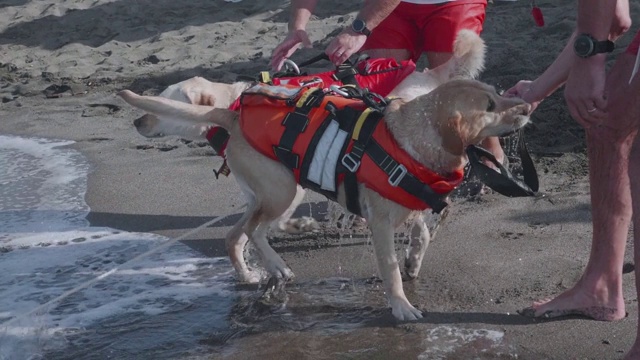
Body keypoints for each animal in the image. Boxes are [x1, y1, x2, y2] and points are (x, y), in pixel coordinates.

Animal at [119, 78, 528, 318]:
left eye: (498, 93)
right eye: (489, 106)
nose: (526, 106)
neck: (412, 142)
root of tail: (230, 115)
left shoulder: (411, 208)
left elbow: (422, 235)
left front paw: (414, 261)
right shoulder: (381, 224)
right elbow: (390, 269)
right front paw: (401, 306)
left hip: (269, 193)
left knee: (238, 234)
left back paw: (256, 270)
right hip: (285, 188)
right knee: (255, 231)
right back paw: (277, 265)